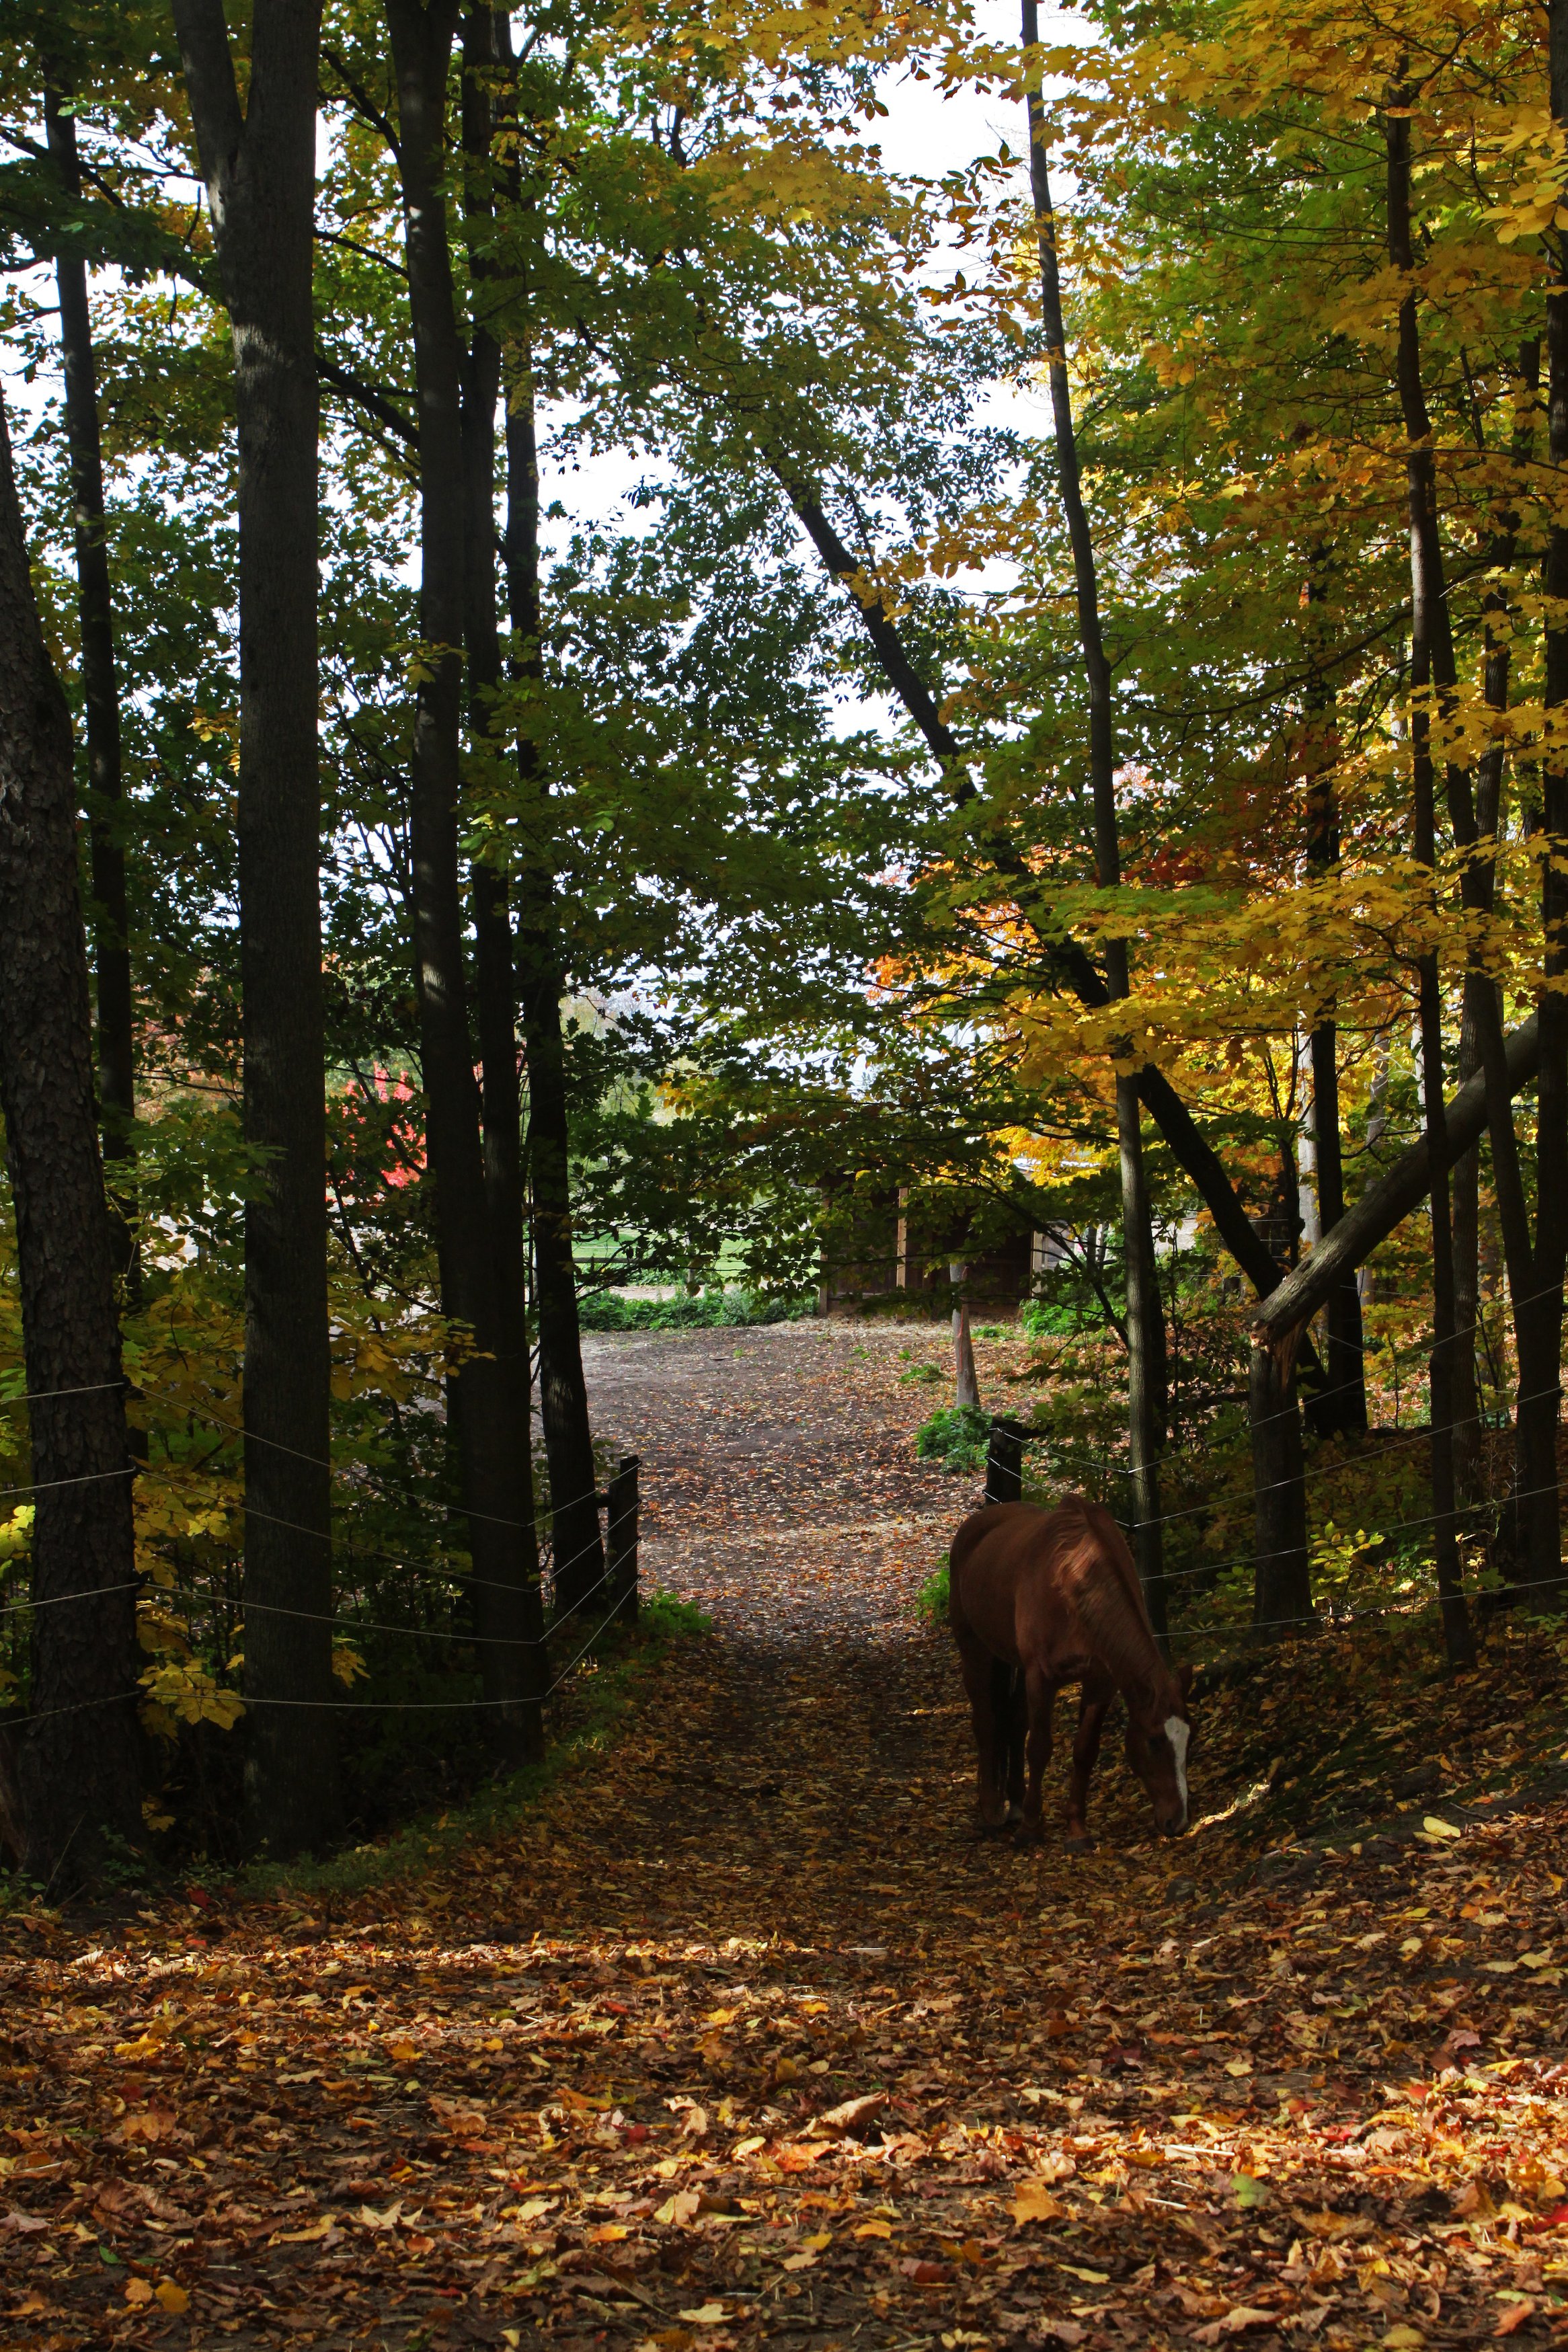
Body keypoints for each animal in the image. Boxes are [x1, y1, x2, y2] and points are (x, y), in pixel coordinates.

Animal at [948, 1497, 1192, 1845]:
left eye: (1190, 1740)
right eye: (1154, 1741)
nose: (1178, 1821)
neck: (1072, 1579)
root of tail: (975, 1524)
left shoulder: (1100, 1683)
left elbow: (1084, 1751)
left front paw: (1076, 1830)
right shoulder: (1041, 1678)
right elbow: (1039, 1747)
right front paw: (1031, 1828)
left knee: (1014, 1723)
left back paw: (1015, 1803)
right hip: (975, 1650)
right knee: (986, 1723)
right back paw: (991, 1812)